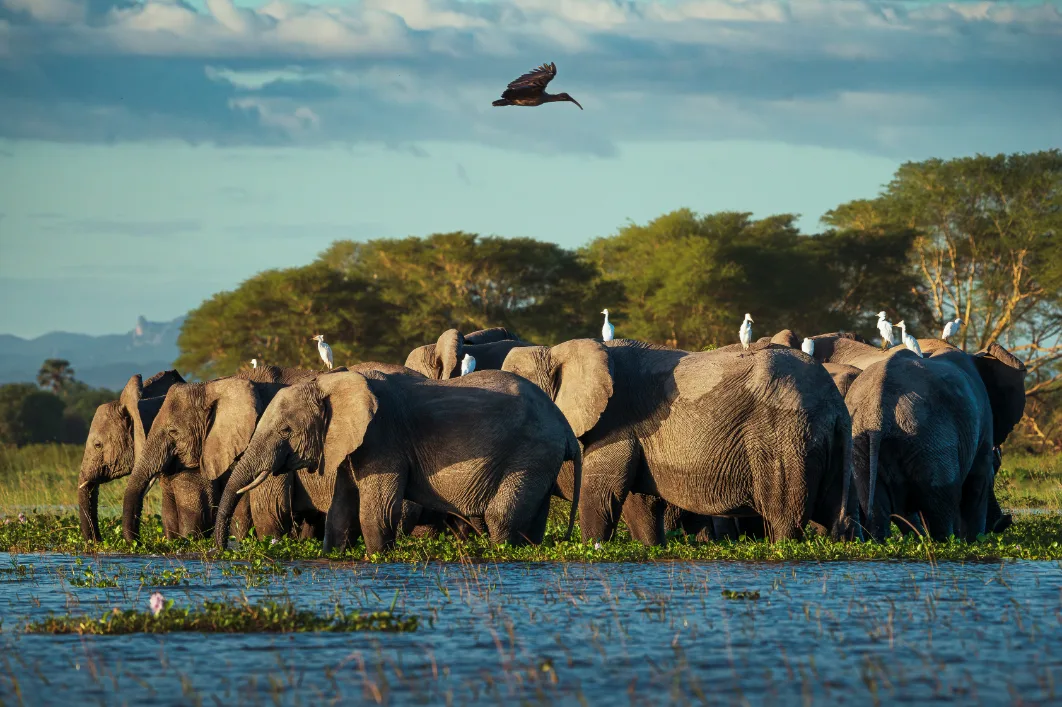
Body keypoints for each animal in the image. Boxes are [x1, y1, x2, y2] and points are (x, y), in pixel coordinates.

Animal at [212, 368, 582, 556]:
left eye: (286, 430)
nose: (221, 553)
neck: (331, 384)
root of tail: (563, 423)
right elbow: (340, 512)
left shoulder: (382, 439)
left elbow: (377, 512)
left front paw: (377, 559)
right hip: (541, 458)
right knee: (532, 521)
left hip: (531, 451)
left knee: (501, 516)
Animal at [502, 337, 855, 545]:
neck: (558, 350)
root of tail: (837, 405)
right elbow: (639, 502)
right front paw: (650, 547)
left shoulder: (616, 424)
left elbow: (602, 493)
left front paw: (593, 548)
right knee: (835, 517)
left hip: (784, 438)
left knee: (785, 520)